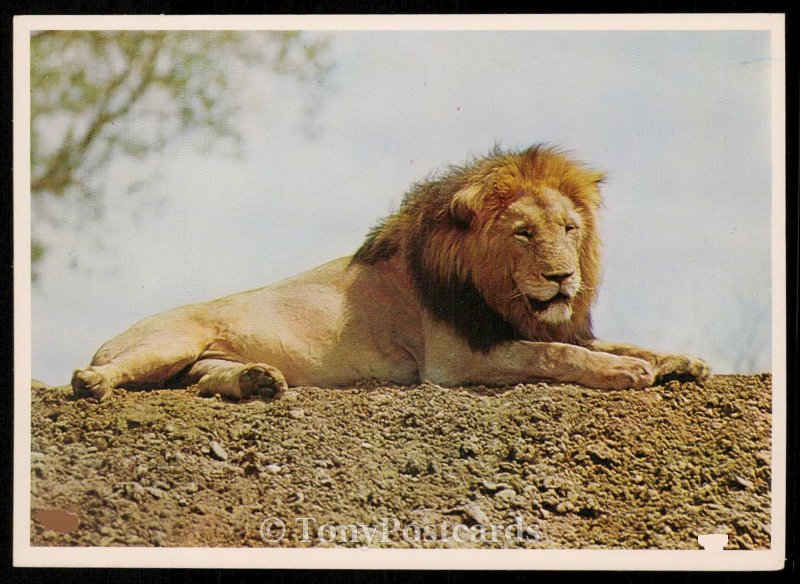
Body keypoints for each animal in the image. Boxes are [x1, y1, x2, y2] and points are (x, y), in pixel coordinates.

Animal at [73, 146, 712, 402]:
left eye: (569, 228)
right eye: (523, 233)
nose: (562, 278)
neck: (501, 295)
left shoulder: (537, 326)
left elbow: (611, 342)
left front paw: (682, 362)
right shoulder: (456, 360)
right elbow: (555, 354)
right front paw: (625, 371)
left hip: (201, 361)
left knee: (201, 381)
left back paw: (257, 381)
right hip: (169, 341)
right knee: (121, 372)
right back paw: (93, 383)